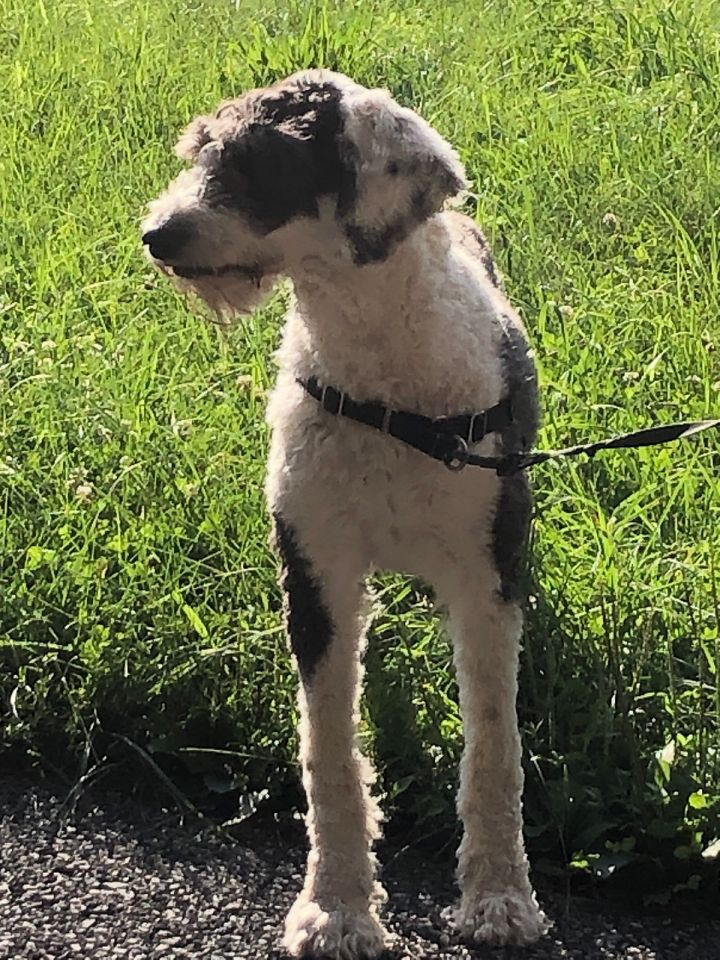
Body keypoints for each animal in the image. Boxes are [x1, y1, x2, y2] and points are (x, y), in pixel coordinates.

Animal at [146, 69, 552, 960]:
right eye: (201, 151)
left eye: (263, 163)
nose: (157, 233)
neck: (385, 394)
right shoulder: (316, 570)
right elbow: (329, 753)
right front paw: (336, 910)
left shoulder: (486, 576)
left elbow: (494, 743)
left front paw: (500, 898)